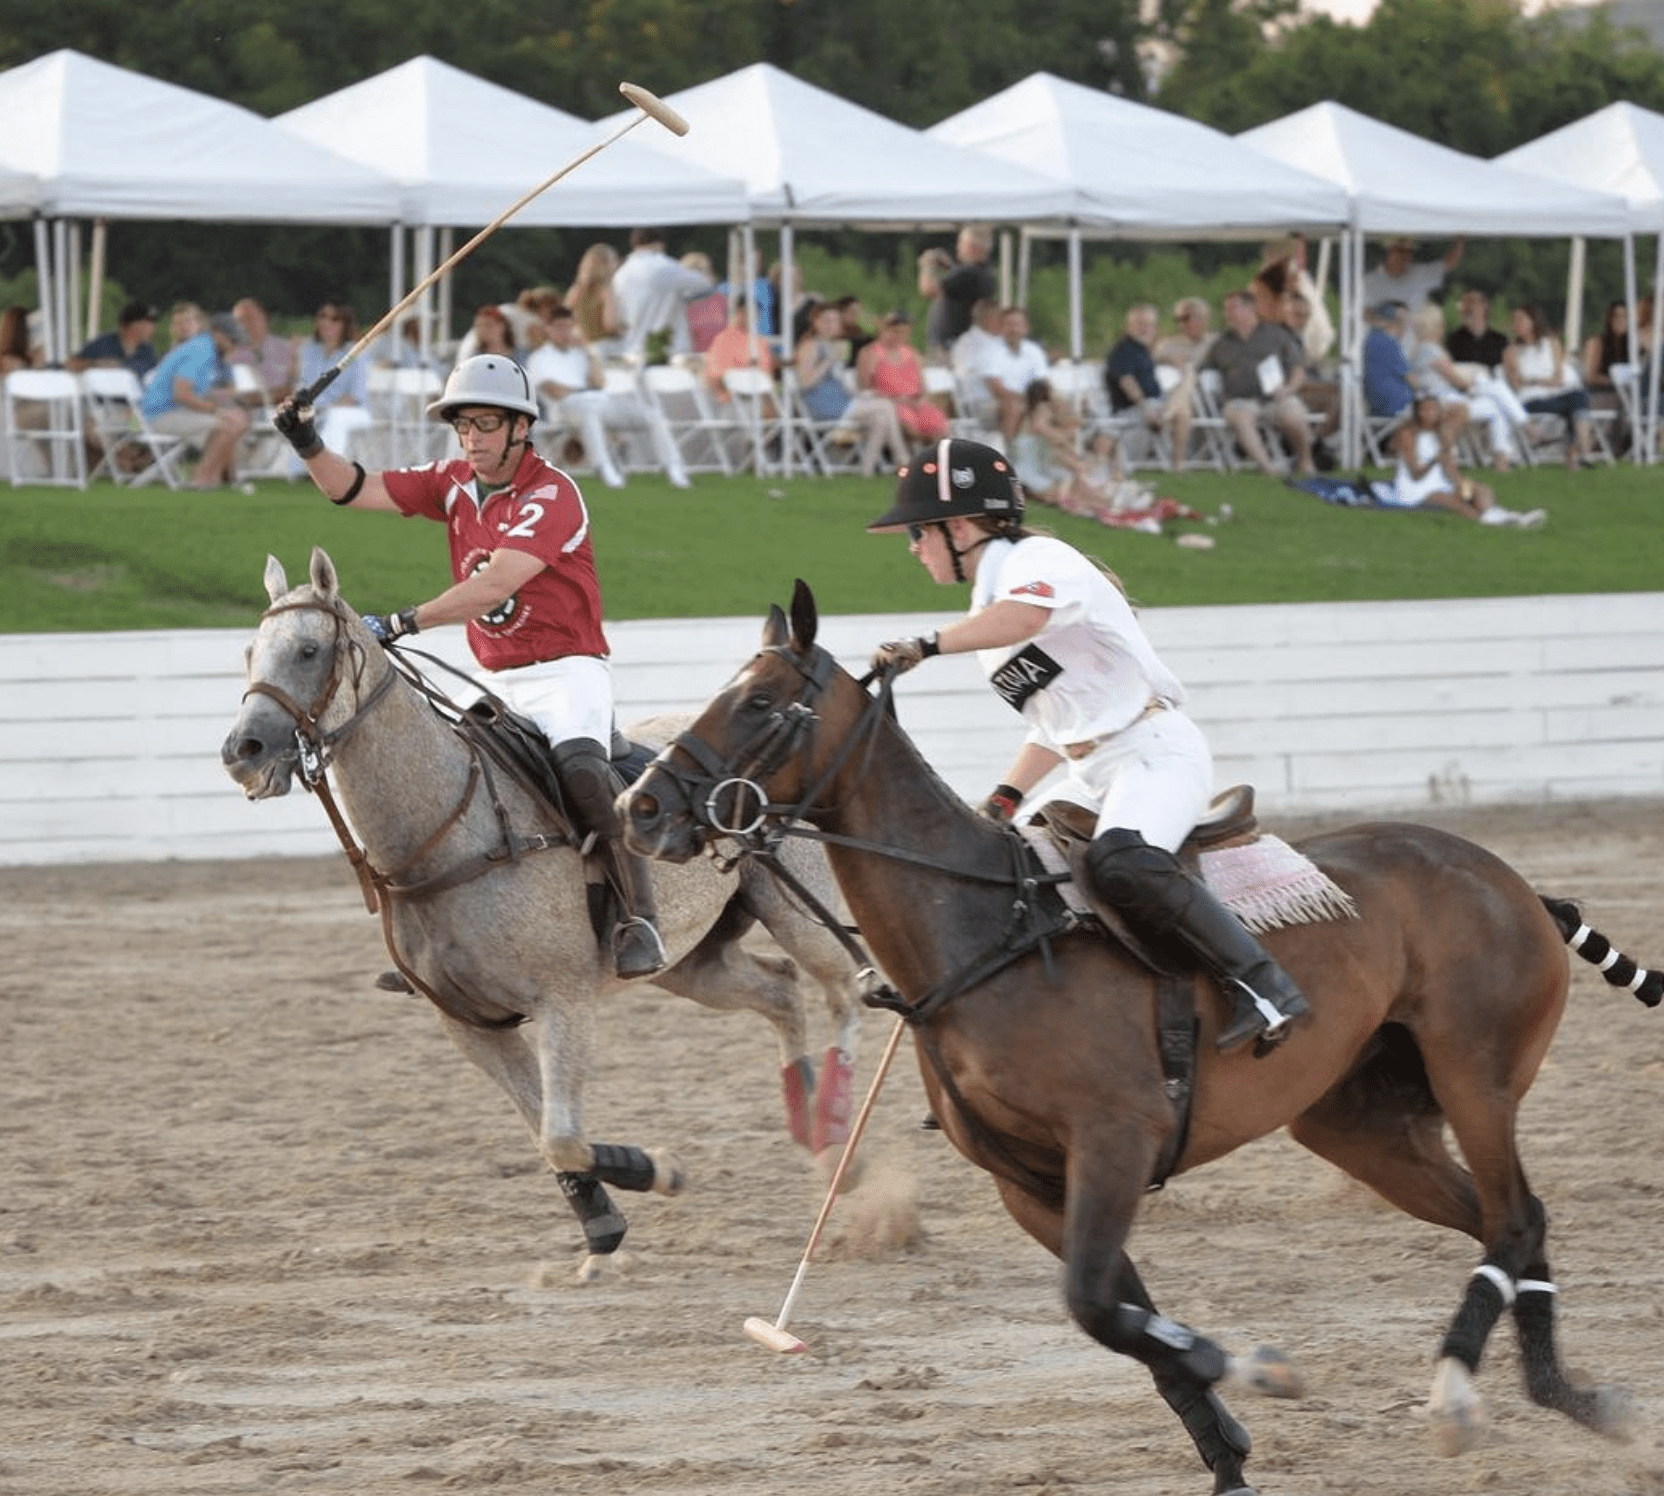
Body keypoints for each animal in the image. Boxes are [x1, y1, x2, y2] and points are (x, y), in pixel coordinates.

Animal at [222, 549, 871, 1278]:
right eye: (249, 651)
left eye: (308, 650)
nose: (243, 752)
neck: (449, 832)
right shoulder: (470, 1025)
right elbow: (546, 1134)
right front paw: (605, 1223)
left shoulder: (564, 1001)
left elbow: (561, 1132)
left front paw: (658, 1170)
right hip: (692, 962)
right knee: (779, 990)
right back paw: (808, 1125)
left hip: (798, 911)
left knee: (844, 990)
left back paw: (839, 1141)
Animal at [619, 582, 1657, 1496]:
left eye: (759, 701)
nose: (640, 808)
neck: (980, 933)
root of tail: (1519, 882)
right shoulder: (1033, 1184)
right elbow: (1123, 1317)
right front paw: (1230, 1453)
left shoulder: (1114, 1140)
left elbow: (1096, 1307)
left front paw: (1261, 1373)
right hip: (1359, 1123)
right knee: (1513, 1221)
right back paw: (1570, 1398)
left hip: (1476, 1072)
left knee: (1514, 1217)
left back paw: (1458, 1396)